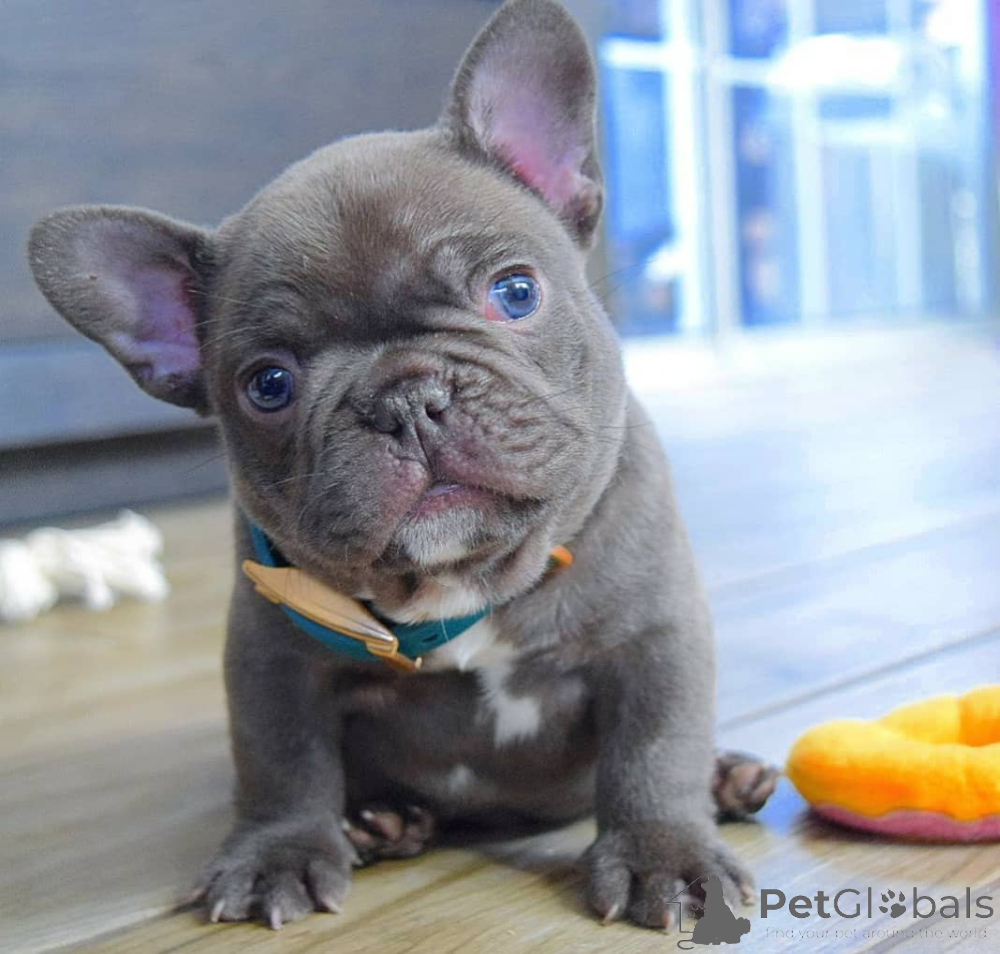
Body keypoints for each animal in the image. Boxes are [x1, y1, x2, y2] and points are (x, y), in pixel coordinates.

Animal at [28, 0, 777, 931]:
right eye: (268, 384)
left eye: (516, 293)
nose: (406, 397)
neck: (462, 587)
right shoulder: (274, 663)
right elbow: (283, 762)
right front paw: (279, 853)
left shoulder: (653, 636)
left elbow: (656, 747)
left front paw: (664, 856)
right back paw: (381, 823)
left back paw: (728, 778)